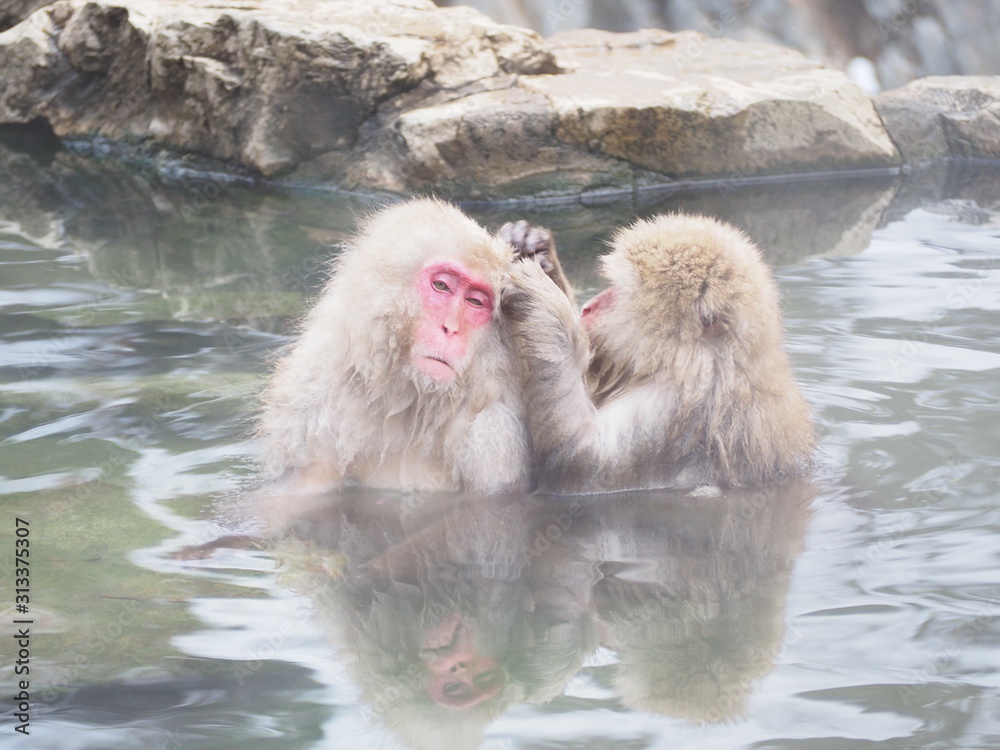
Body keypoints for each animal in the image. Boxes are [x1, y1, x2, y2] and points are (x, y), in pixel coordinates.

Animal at [504, 214, 816, 496]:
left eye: (618, 292)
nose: (588, 307)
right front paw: (533, 247)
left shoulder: (670, 413)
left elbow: (579, 465)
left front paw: (545, 303)